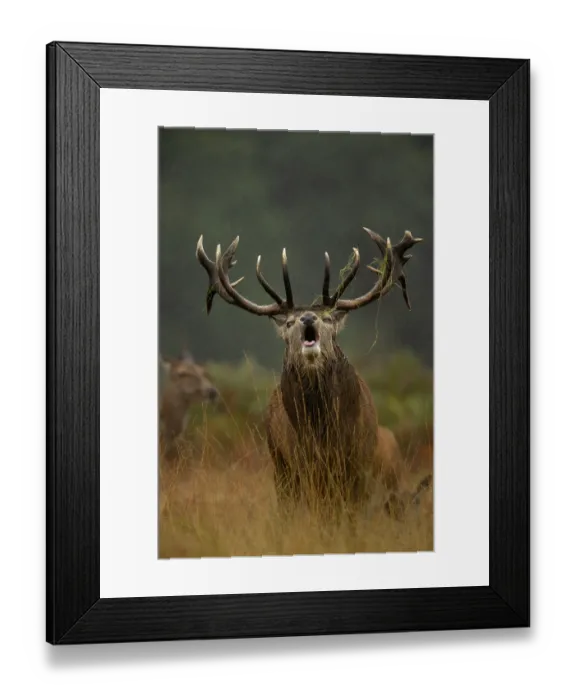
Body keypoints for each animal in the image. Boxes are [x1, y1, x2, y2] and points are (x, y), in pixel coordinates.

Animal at [195, 227, 431, 516]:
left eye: (328, 317)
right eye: (289, 322)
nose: (308, 317)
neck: (325, 431)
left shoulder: (359, 461)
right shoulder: (302, 462)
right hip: (279, 463)